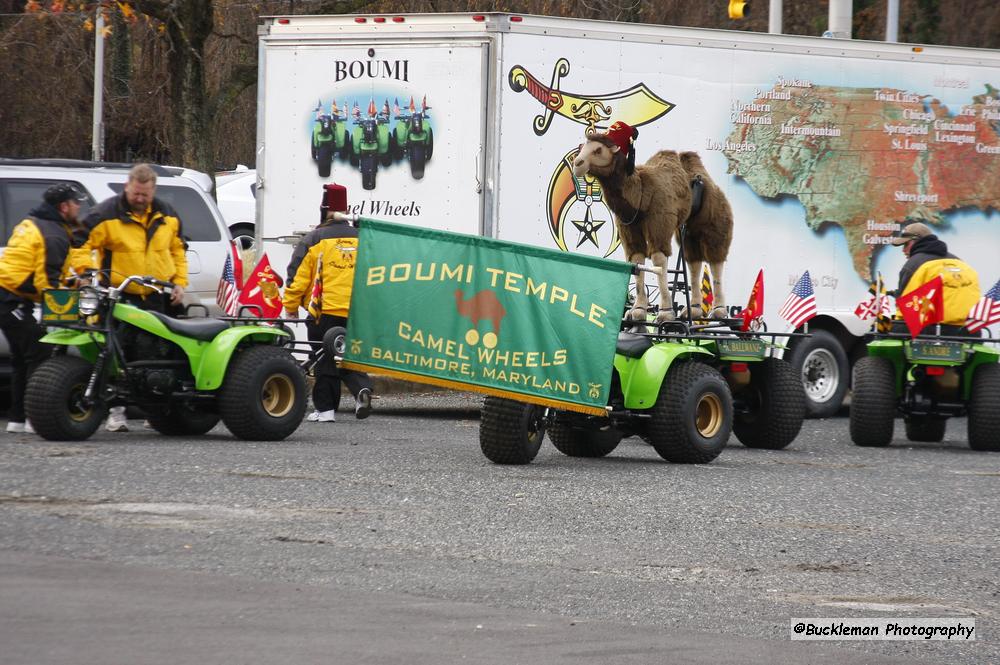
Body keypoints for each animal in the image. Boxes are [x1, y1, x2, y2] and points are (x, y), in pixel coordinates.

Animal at [572, 122, 736, 324]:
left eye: (598, 149)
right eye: (583, 146)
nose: (577, 164)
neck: (641, 194)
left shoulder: (660, 221)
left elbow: (658, 261)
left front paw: (665, 312)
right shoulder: (629, 228)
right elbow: (637, 261)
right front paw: (637, 311)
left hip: (714, 219)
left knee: (715, 259)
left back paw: (719, 311)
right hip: (689, 230)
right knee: (694, 261)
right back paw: (695, 310)